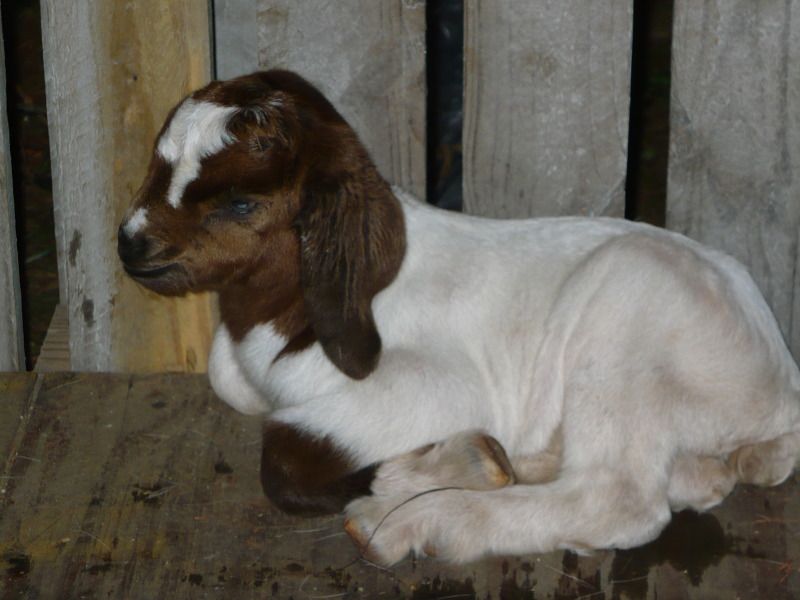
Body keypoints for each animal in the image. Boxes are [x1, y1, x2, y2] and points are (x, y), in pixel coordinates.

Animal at [118, 70, 800, 565]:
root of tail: (781, 384)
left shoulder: (435, 385)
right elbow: (225, 379)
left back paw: (422, 518)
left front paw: (438, 469)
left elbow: (284, 454)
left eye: (240, 204)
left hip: (626, 317)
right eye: (158, 165)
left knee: (618, 497)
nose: (131, 244)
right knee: (688, 481)